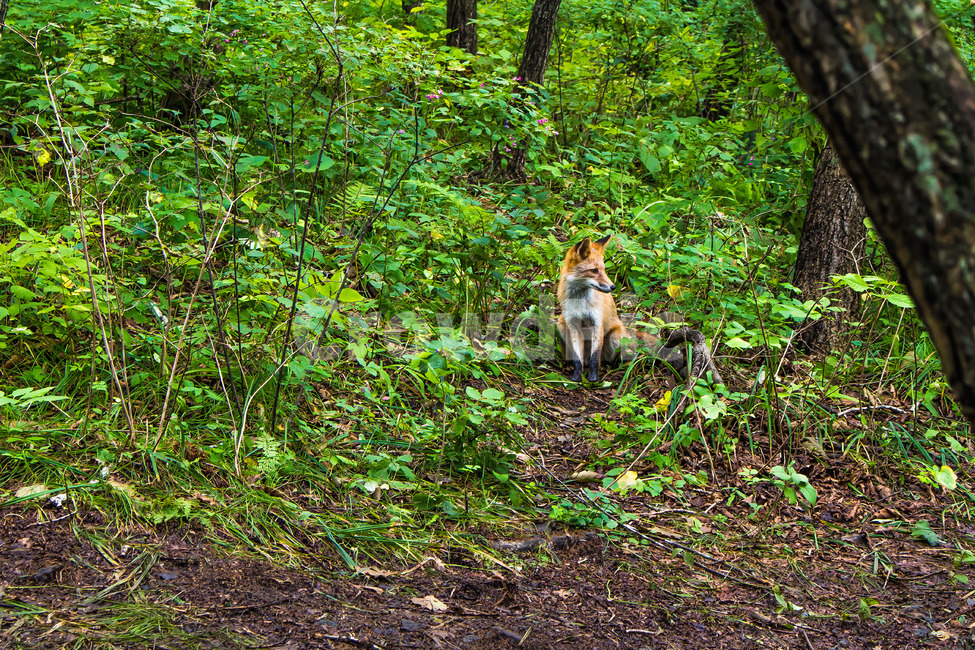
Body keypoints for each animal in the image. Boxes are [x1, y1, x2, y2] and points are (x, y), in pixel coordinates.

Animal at [556, 234, 723, 385]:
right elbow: (577, 358)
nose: (612, 287)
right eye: (594, 270)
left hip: (615, 336)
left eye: (603, 269)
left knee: (607, 358)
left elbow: (595, 357)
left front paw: (593, 378)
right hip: (561, 324)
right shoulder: (573, 324)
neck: (580, 302)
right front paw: (577, 376)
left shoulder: (597, 323)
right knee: (580, 356)